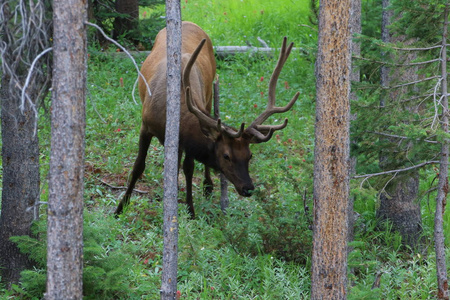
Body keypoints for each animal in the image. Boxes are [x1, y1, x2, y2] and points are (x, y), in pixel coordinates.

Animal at [115, 21, 298, 218]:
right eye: (226, 155)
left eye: (249, 155)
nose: (248, 188)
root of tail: (188, 22)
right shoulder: (145, 125)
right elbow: (138, 166)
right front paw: (120, 208)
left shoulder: (186, 139)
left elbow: (188, 168)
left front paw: (190, 210)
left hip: (209, 94)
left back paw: (208, 186)